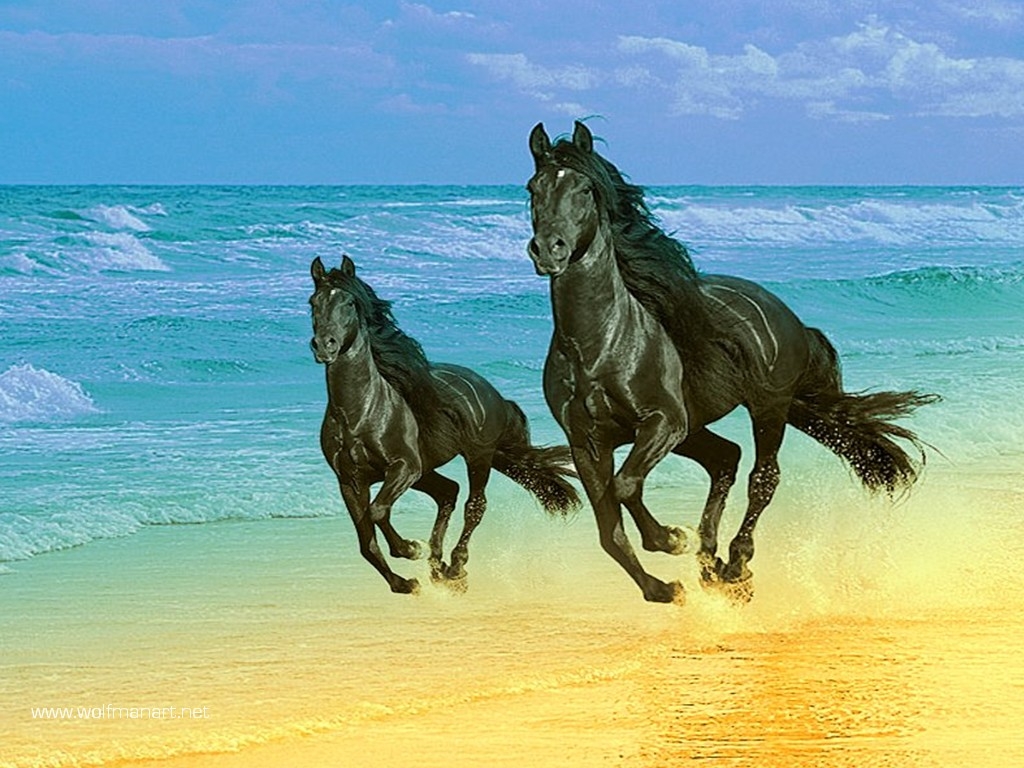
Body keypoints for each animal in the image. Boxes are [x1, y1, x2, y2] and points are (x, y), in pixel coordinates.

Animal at [309, 255, 579, 594]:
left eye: (348, 303)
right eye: (313, 302)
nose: (324, 346)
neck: (359, 414)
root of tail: (493, 393)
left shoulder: (403, 467)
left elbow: (378, 511)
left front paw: (410, 548)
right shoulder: (350, 481)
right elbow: (366, 542)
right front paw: (404, 583)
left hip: (476, 457)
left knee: (474, 505)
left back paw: (455, 567)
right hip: (428, 470)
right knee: (448, 492)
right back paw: (437, 566)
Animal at [525, 121, 938, 604]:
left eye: (586, 189)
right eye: (533, 188)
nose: (548, 250)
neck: (598, 346)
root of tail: (786, 315)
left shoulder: (663, 422)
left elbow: (626, 486)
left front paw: (672, 538)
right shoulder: (587, 443)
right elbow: (609, 530)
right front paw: (664, 588)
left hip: (766, 408)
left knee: (763, 476)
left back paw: (735, 565)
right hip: (696, 429)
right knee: (726, 458)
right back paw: (710, 561)